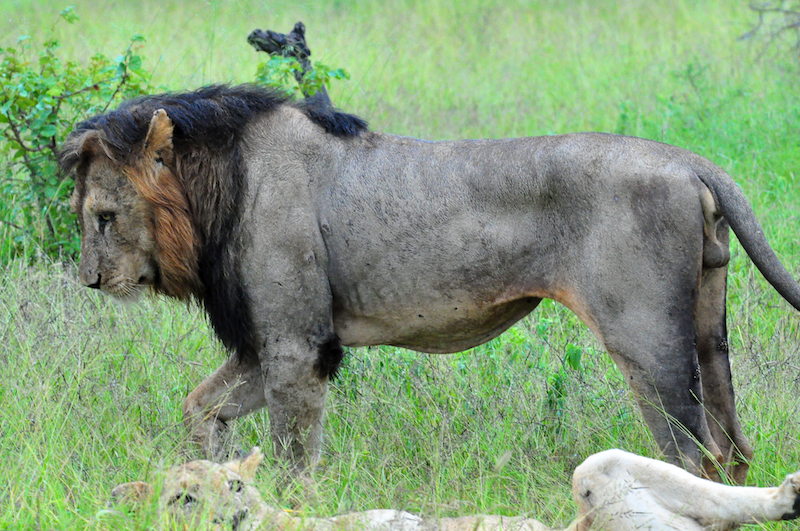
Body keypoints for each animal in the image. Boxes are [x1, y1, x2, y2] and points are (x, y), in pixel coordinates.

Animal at [59, 84, 800, 483]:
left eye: (103, 217)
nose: (90, 282)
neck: (219, 189)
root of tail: (688, 161)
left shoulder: (297, 344)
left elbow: (295, 455)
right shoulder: (267, 341)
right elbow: (201, 409)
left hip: (645, 339)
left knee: (695, 455)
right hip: (705, 328)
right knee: (734, 450)